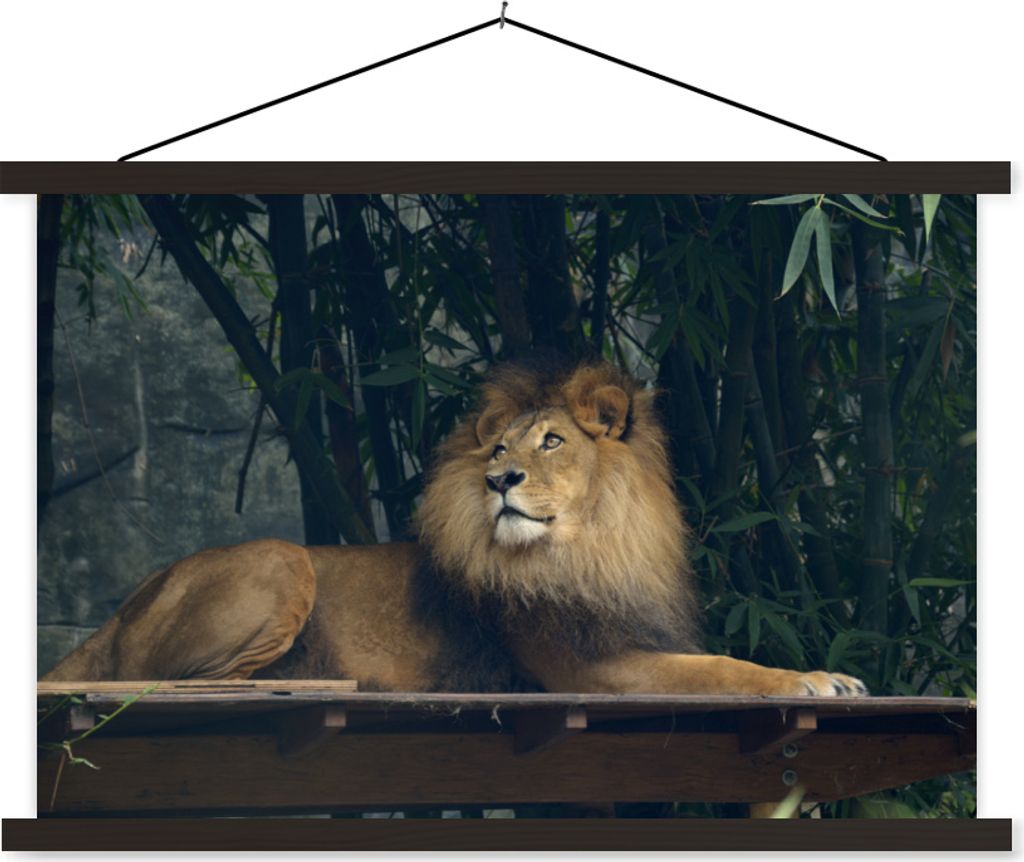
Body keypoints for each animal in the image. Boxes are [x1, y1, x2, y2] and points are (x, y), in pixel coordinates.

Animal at [43, 359, 866, 697]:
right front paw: (817, 678)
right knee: (184, 681)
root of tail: (117, 613)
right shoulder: (588, 667)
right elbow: (725, 668)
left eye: (552, 442)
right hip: (282, 560)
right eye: (500, 450)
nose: (500, 481)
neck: (596, 544)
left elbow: (718, 657)